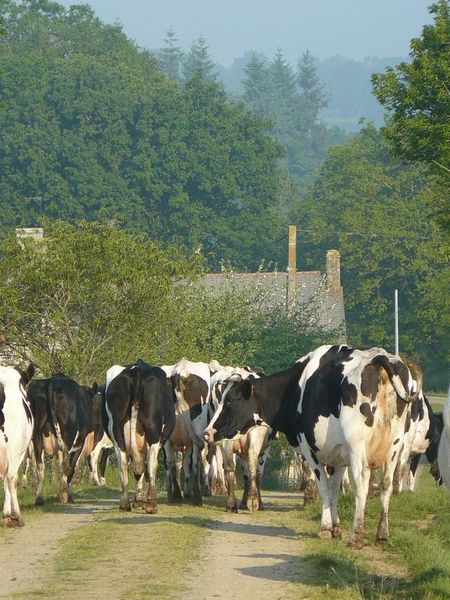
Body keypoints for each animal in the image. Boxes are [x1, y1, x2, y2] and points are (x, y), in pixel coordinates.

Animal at [28, 372, 92, 504]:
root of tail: (52, 383)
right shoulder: (80, 442)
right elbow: (71, 466)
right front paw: (69, 494)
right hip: (68, 434)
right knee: (65, 464)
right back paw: (62, 494)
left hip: (36, 434)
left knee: (40, 466)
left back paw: (39, 498)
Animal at [103, 358, 176, 512]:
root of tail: (137, 370)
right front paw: (142, 499)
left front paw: (139, 498)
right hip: (153, 430)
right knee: (151, 464)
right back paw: (151, 504)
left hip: (116, 430)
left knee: (124, 463)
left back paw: (125, 503)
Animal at [206, 342, 424, 548]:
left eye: (230, 401)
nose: (208, 432)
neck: (295, 387)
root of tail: (379, 357)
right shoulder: (339, 456)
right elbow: (334, 489)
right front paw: (336, 528)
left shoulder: (310, 449)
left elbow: (324, 486)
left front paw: (325, 529)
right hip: (394, 446)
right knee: (387, 484)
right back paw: (382, 534)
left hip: (358, 447)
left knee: (362, 483)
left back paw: (356, 536)